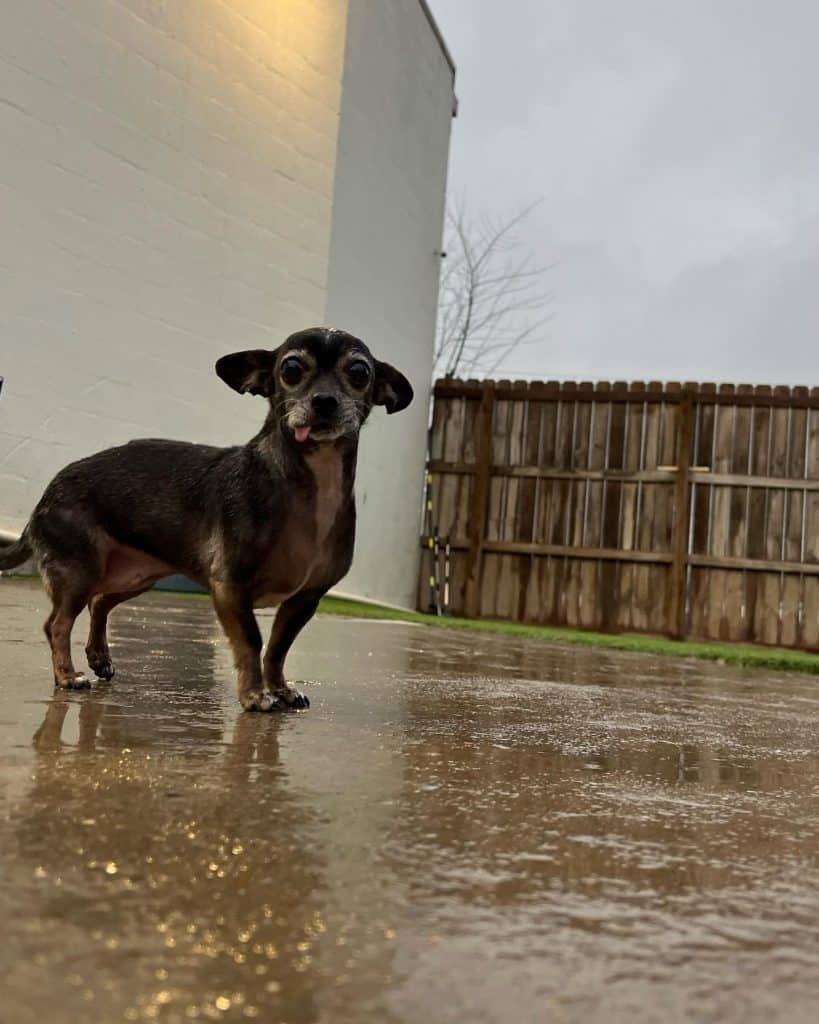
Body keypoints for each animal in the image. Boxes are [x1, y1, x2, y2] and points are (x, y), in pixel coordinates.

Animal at [0, 329, 409, 712]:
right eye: (291, 368)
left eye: (359, 372)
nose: (324, 401)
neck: (307, 485)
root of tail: (44, 497)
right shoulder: (231, 588)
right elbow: (252, 641)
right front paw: (255, 696)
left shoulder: (304, 599)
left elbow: (278, 647)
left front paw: (280, 689)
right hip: (80, 574)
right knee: (57, 623)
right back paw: (67, 676)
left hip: (133, 576)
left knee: (99, 602)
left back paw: (99, 657)